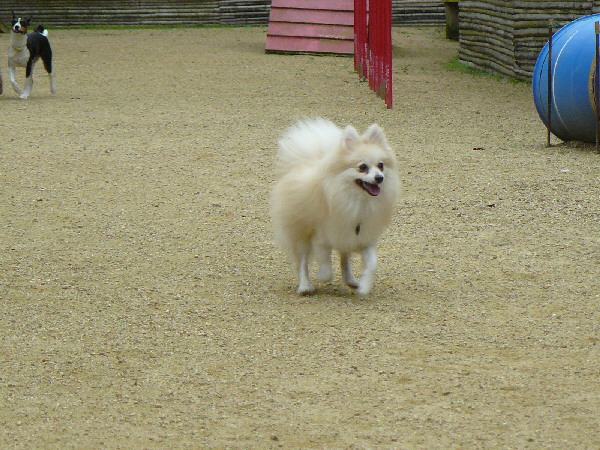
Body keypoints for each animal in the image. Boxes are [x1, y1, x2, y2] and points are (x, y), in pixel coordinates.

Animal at [271, 118, 400, 295]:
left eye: (381, 165)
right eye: (363, 167)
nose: (379, 177)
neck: (358, 200)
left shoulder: (363, 237)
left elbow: (372, 264)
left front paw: (364, 285)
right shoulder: (321, 237)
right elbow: (325, 267)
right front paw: (321, 276)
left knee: (344, 258)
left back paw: (351, 280)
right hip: (300, 232)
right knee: (302, 260)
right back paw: (305, 286)